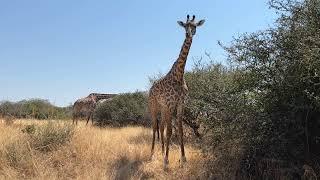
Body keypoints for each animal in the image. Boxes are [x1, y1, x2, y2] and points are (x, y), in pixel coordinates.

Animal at [148, 14, 205, 169]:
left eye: (194, 26)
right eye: (185, 25)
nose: (188, 34)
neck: (179, 74)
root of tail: (150, 89)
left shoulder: (180, 104)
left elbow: (179, 130)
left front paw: (183, 159)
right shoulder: (170, 103)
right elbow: (170, 132)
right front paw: (166, 162)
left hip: (163, 108)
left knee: (161, 127)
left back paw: (162, 152)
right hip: (154, 106)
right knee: (155, 127)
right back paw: (152, 155)